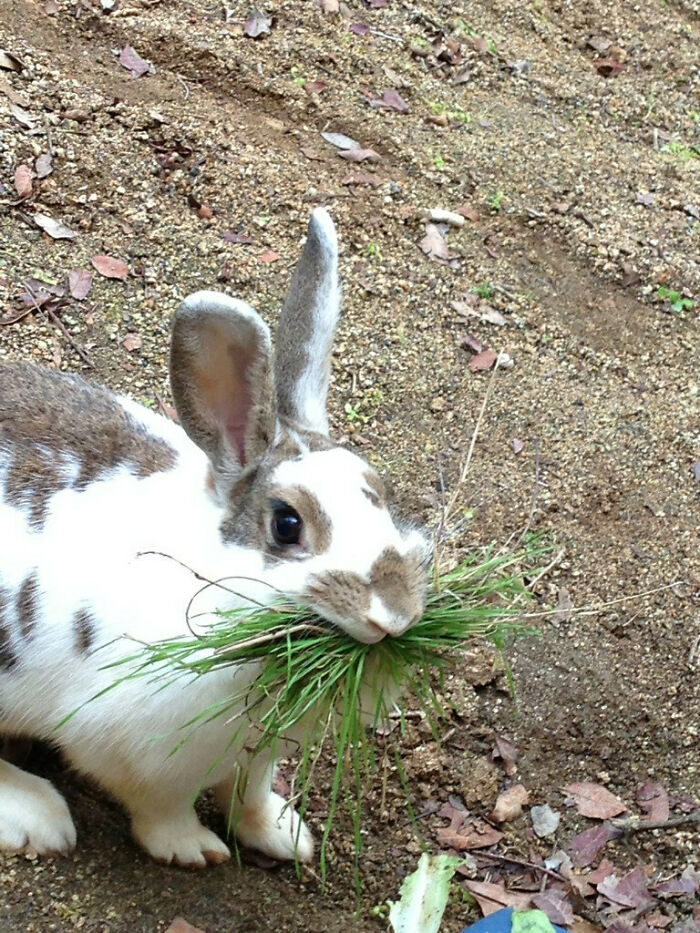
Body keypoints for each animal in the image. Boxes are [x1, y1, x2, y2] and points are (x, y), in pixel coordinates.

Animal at [0, 208, 429, 868]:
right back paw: (39, 815)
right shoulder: (131, 750)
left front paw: (286, 836)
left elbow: (248, 793)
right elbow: (160, 808)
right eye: (286, 524)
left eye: (379, 490)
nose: (396, 614)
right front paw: (193, 850)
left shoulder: (256, 750)